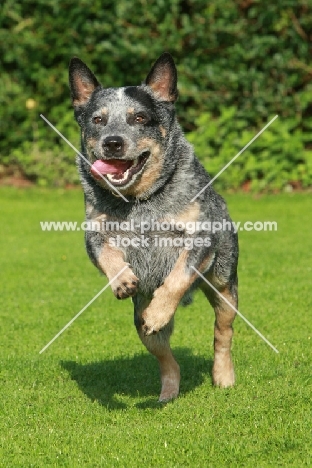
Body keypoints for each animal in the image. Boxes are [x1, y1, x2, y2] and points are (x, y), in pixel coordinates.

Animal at [69, 52, 239, 402]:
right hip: (139, 321)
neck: (141, 202)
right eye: (98, 120)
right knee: (165, 357)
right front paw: (121, 280)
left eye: (140, 117)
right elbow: (106, 254)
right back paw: (168, 393)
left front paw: (161, 309)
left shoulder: (199, 236)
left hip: (224, 285)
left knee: (222, 332)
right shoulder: (94, 232)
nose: (113, 143)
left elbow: (176, 278)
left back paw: (223, 376)